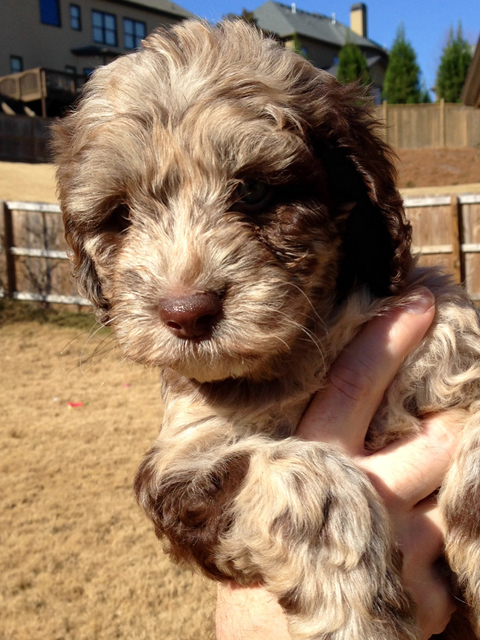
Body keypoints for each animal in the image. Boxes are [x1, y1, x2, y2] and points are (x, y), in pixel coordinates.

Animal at [54, 20, 480, 640]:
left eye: (253, 190)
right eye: (121, 216)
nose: (187, 312)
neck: (301, 351)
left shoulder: (450, 343)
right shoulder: (180, 465)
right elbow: (292, 469)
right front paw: (357, 609)